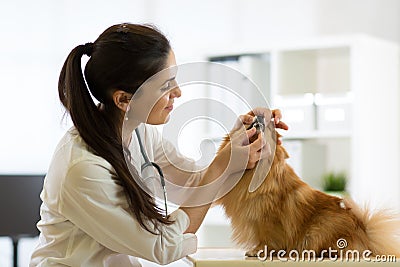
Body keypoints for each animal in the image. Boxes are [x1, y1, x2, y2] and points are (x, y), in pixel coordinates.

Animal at [216, 125, 400, 260]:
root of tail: (365, 232)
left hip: (318, 230)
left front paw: (258, 250)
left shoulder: (268, 219)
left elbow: (267, 238)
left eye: (268, 129)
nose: (258, 119)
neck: (251, 173)